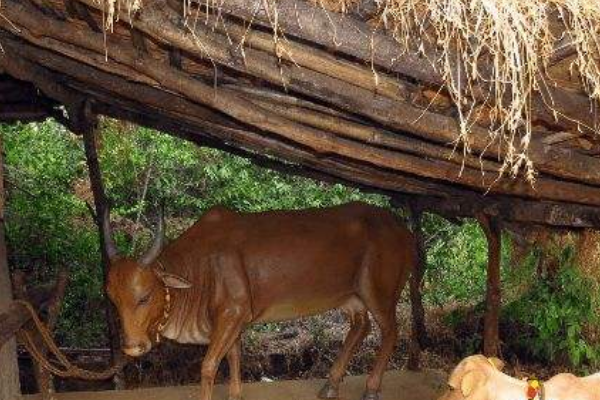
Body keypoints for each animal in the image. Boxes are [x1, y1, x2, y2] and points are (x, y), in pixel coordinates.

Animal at [104, 203, 418, 400]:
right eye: (113, 300)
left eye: (145, 296)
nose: (131, 347)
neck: (199, 268)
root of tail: (405, 230)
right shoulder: (232, 320)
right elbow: (233, 357)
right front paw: (235, 395)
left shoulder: (232, 312)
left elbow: (208, 366)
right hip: (351, 298)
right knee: (361, 327)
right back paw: (331, 384)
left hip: (379, 293)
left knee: (391, 331)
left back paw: (372, 388)